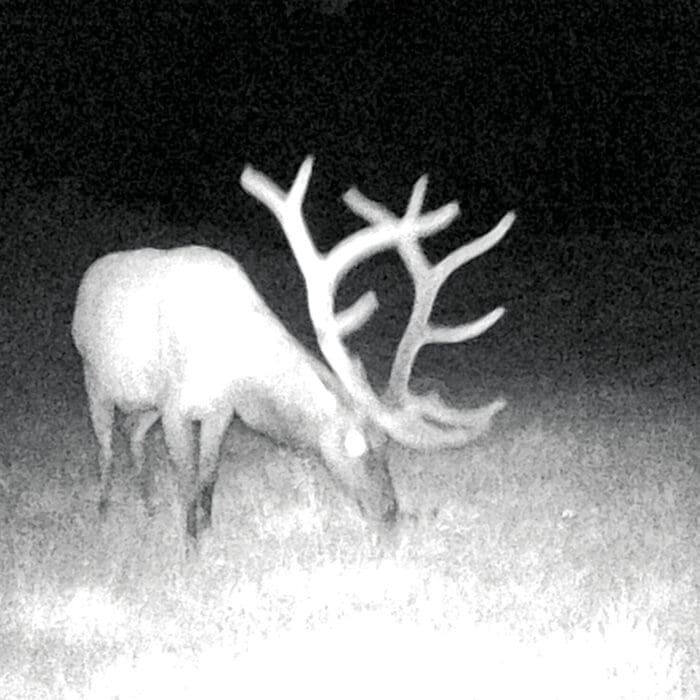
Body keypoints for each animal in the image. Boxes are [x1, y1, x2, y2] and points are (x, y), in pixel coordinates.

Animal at [71, 156, 514, 552]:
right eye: (362, 449)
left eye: (388, 450)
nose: (390, 513)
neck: (234, 363)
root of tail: (89, 276)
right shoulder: (175, 404)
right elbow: (187, 479)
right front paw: (190, 548)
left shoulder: (219, 410)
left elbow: (209, 475)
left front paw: (209, 533)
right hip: (95, 377)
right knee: (106, 446)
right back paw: (104, 511)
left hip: (143, 399)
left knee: (132, 431)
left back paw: (147, 506)